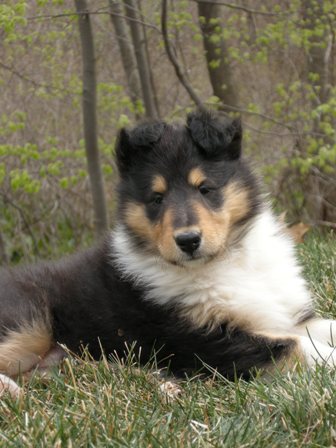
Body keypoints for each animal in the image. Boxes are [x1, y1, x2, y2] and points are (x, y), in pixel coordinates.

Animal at [0, 111, 336, 396]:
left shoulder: (287, 318)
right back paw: (11, 392)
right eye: (157, 198)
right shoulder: (204, 341)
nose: (188, 240)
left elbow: (319, 329)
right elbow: (297, 346)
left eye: (205, 188)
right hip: (29, 322)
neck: (229, 260)